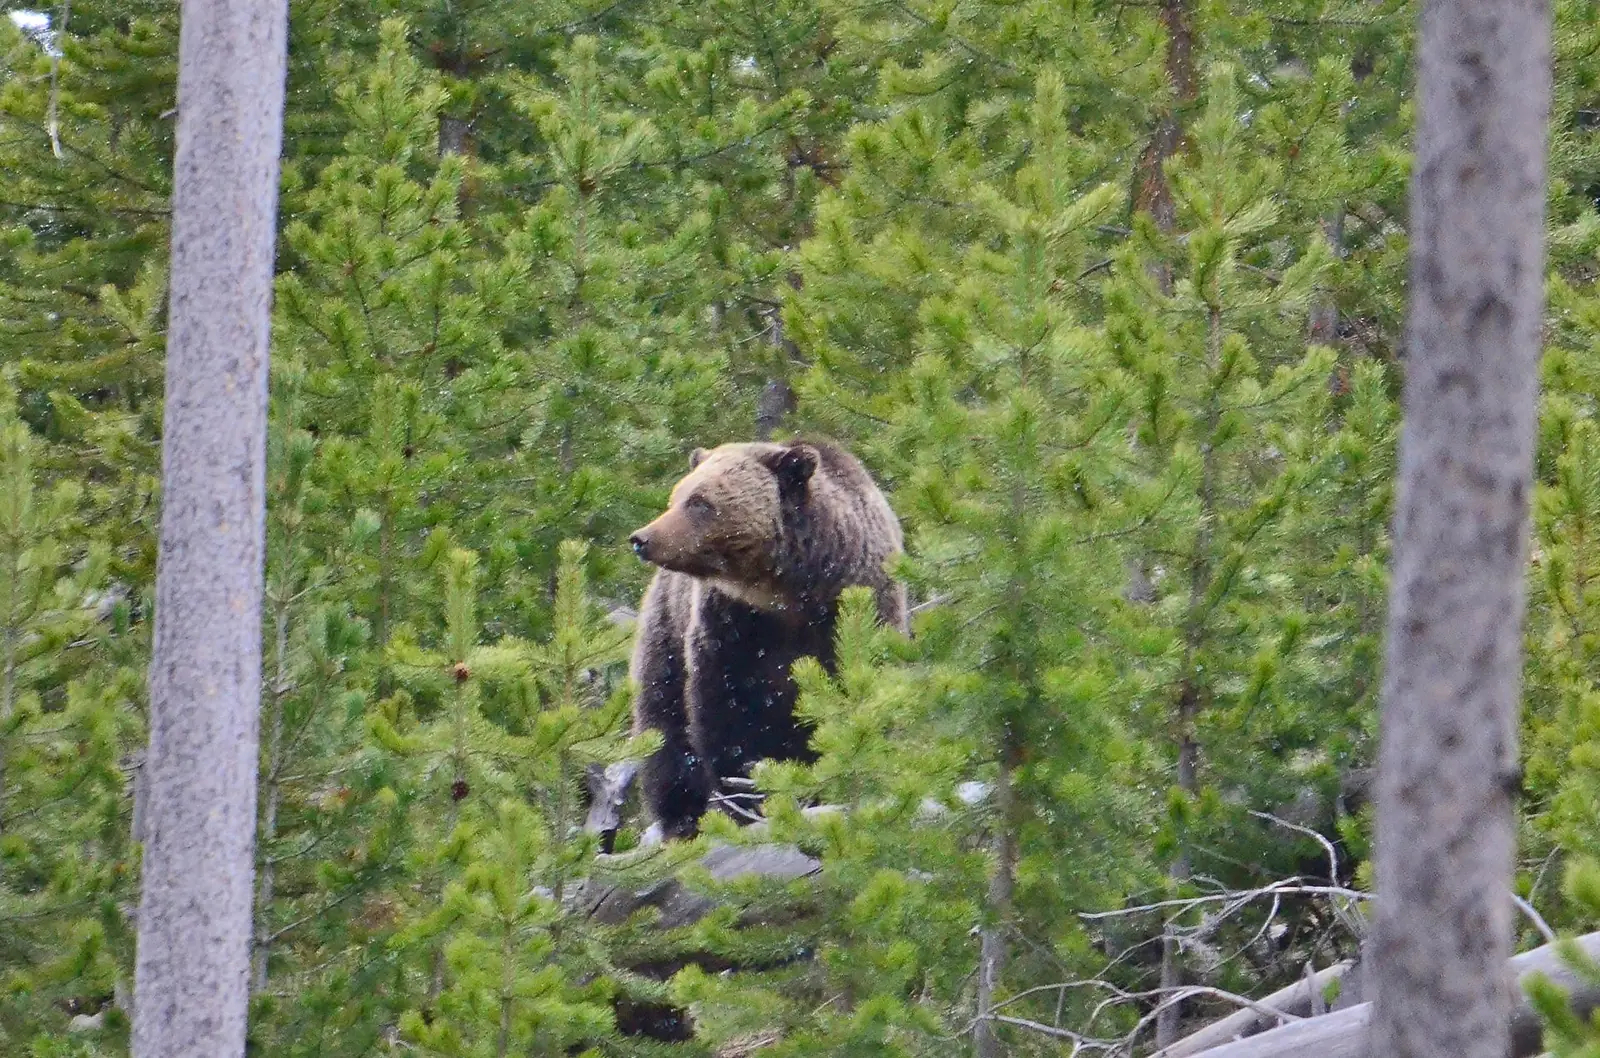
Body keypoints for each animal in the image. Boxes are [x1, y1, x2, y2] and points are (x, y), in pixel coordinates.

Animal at [626, 438, 909, 840]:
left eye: (699, 502)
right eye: (676, 496)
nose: (642, 538)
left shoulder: (856, 608)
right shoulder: (730, 625)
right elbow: (726, 713)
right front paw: (744, 798)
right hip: (665, 635)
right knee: (664, 730)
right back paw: (681, 820)